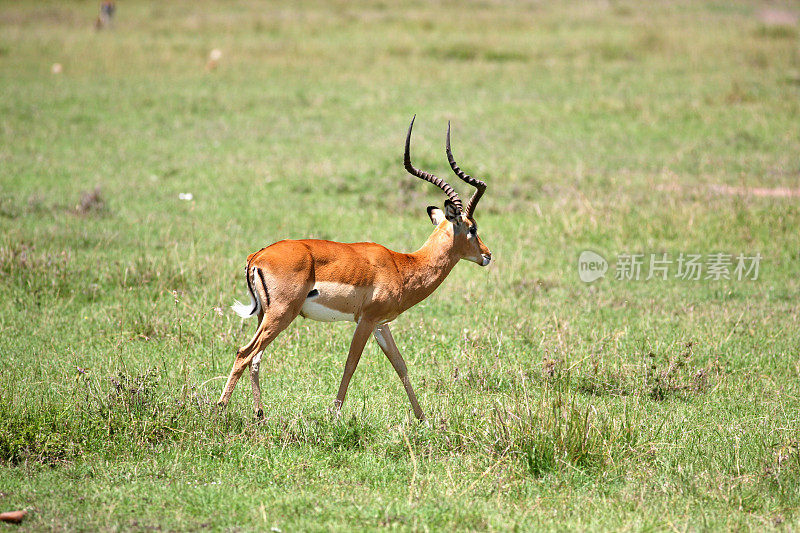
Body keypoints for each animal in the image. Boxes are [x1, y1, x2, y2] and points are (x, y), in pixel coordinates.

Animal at [220, 116, 494, 420]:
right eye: (472, 228)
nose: (487, 255)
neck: (402, 265)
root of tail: (257, 256)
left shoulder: (382, 325)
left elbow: (401, 366)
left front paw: (423, 419)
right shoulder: (366, 320)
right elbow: (351, 365)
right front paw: (335, 415)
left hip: (265, 316)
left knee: (255, 357)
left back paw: (259, 414)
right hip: (282, 313)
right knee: (244, 353)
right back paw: (221, 409)